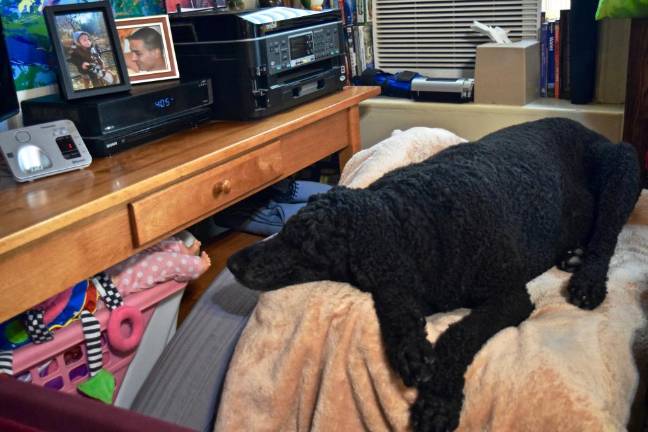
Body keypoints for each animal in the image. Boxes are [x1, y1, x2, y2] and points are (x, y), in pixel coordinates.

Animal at [228, 116, 644, 430]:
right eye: (287, 228)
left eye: (303, 243)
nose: (231, 262)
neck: (416, 216)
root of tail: (589, 130)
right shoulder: (395, 277)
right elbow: (395, 301)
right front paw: (410, 348)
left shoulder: (510, 296)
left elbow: (458, 335)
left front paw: (438, 402)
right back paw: (573, 256)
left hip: (624, 167)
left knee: (606, 236)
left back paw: (586, 278)